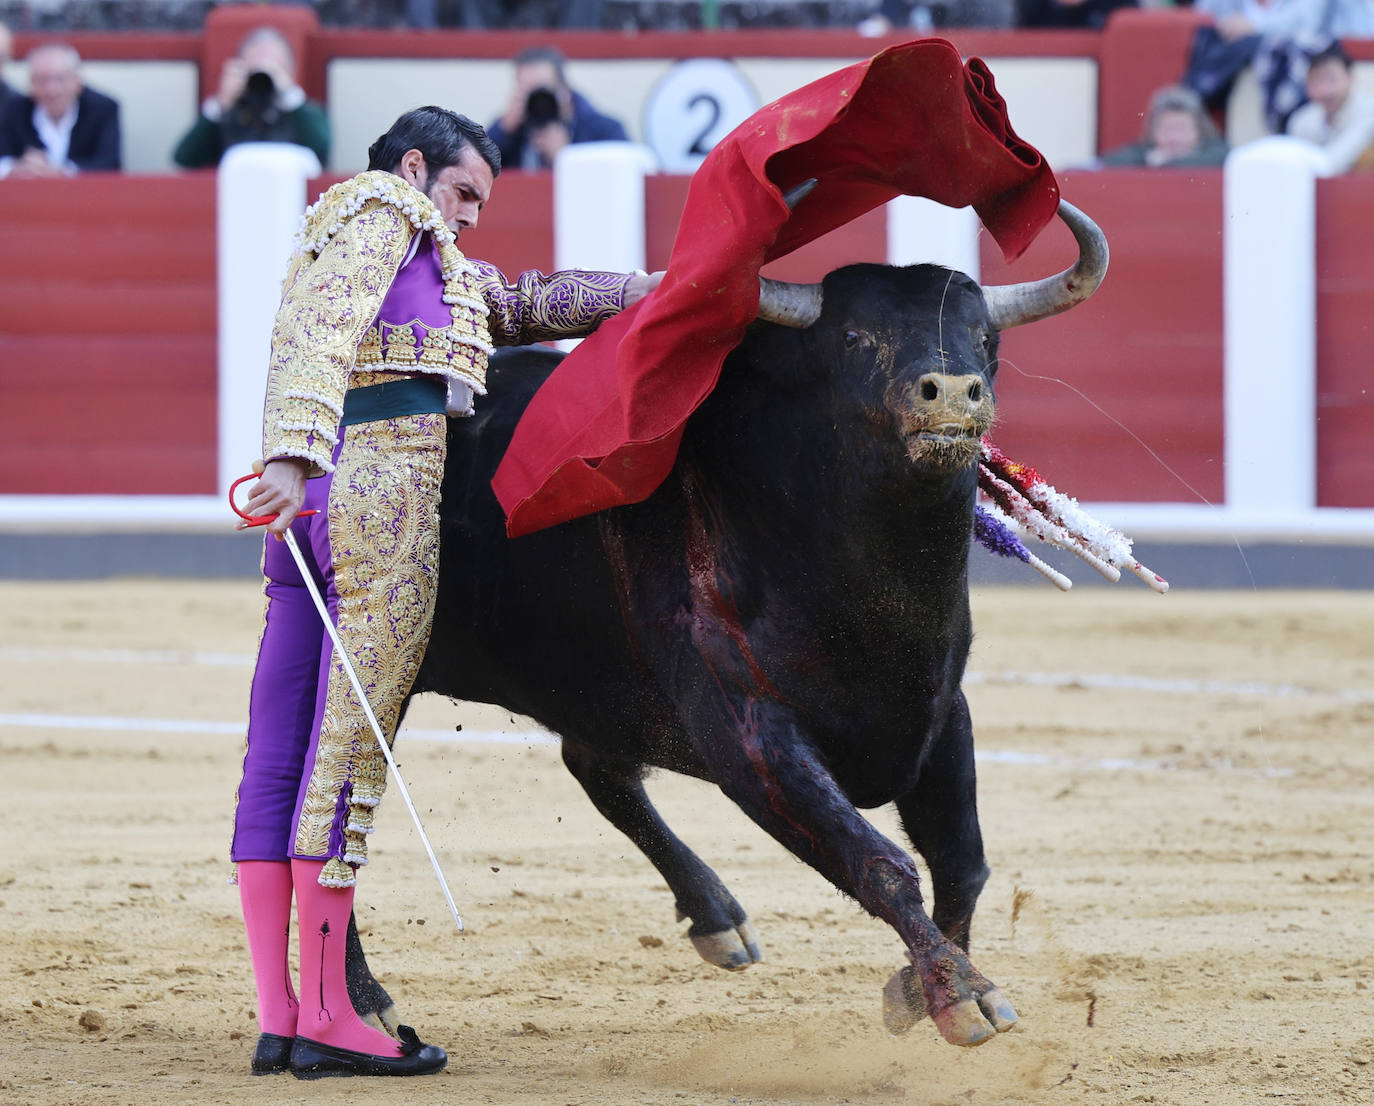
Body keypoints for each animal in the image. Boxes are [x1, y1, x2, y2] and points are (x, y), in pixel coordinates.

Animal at [346, 200, 1115, 1055]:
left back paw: (718, 919)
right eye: (857, 337)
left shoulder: (940, 711)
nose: (952, 394)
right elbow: (878, 861)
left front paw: (921, 986)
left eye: (987, 339)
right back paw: (366, 1005)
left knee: (598, 769)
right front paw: (961, 995)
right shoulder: (748, 732)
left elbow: (963, 862)